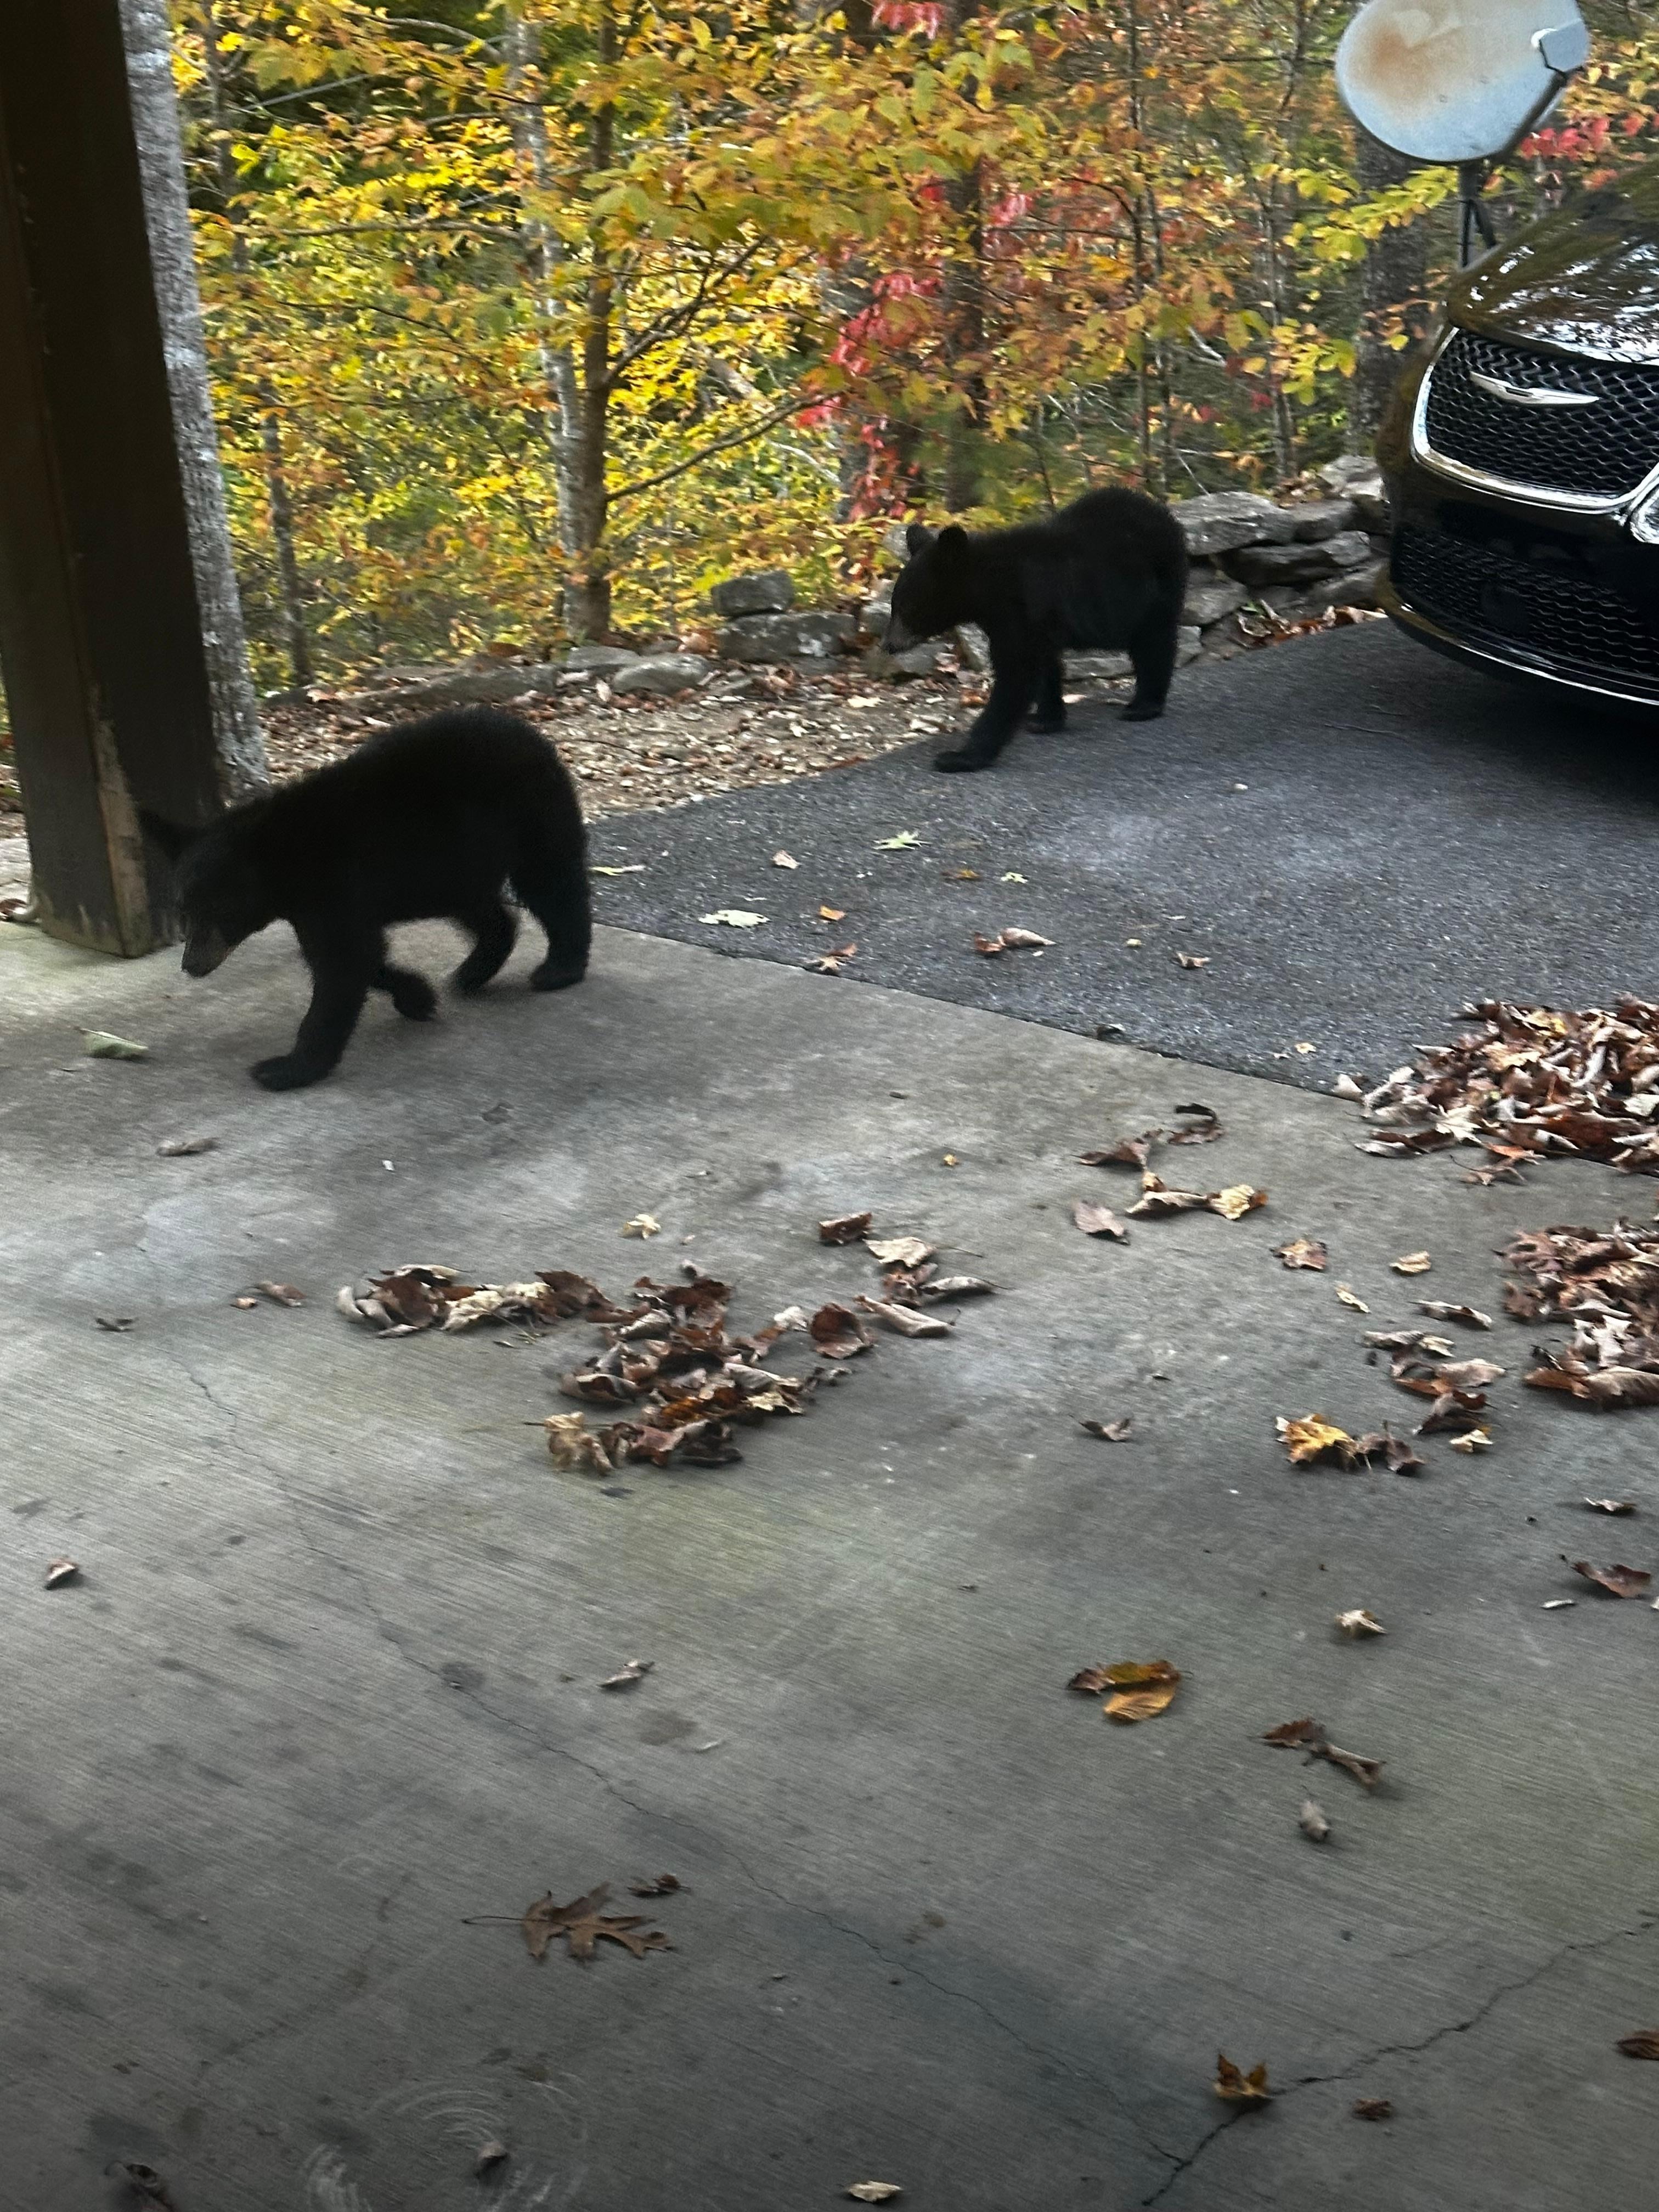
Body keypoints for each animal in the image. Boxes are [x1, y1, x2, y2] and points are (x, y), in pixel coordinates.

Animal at [140, 707, 590, 1091]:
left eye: (219, 911)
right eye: (184, 911)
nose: (191, 965)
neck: (288, 860)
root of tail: (530, 731)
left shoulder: (334, 884)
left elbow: (343, 962)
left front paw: (288, 1067)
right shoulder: (317, 903)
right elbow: (354, 956)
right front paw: (416, 995)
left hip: (529, 814)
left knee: (552, 883)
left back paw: (560, 967)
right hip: (450, 869)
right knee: (485, 909)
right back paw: (475, 970)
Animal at [881, 485, 1189, 772]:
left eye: (908, 608)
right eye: (895, 605)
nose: (888, 645)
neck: (989, 585)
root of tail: (1162, 513)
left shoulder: (1019, 610)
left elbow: (1016, 675)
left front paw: (961, 757)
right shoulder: (1034, 623)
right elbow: (1043, 666)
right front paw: (1045, 719)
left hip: (1155, 586)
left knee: (1154, 640)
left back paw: (1144, 705)